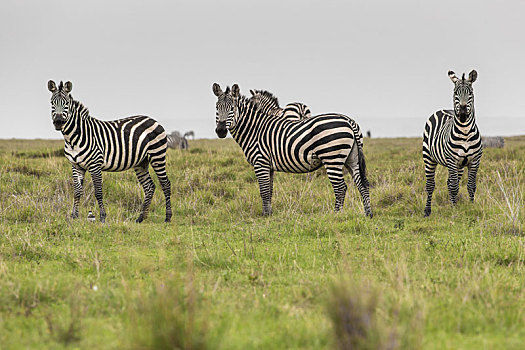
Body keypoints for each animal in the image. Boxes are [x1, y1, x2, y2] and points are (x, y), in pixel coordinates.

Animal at [47, 79, 172, 223]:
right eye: (52, 103)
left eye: (66, 103)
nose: (58, 122)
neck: (73, 138)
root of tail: (153, 120)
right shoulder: (76, 166)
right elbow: (77, 191)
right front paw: (74, 216)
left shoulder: (95, 164)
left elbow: (98, 192)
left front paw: (102, 217)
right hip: (141, 162)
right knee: (149, 187)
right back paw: (140, 218)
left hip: (157, 156)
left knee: (165, 184)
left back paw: (168, 217)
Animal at [211, 83, 370, 217]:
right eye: (217, 108)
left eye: (232, 109)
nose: (221, 131)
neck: (254, 129)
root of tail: (349, 120)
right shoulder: (269, 166)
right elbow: (269, 190)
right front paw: (269, 213)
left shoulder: (260, 162)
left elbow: (263, 190)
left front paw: (264, 216)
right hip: (352, 158)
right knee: (362, 184)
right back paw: (368, 214)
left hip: (332, 157)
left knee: (340, 187)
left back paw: (335, 215)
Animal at [422, 70, 484, 217]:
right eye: (456, 93)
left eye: (470, 93)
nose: (462, 114)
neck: (465, 132)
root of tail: (442, 109)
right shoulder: (452, 160)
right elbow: (454, 187)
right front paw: (454, 210)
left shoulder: (475, 160)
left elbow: (471, 186)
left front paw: (471, 207)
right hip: (429, 158)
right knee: (430, 185)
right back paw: (427, 211)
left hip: (459, 166)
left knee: (449, 182)